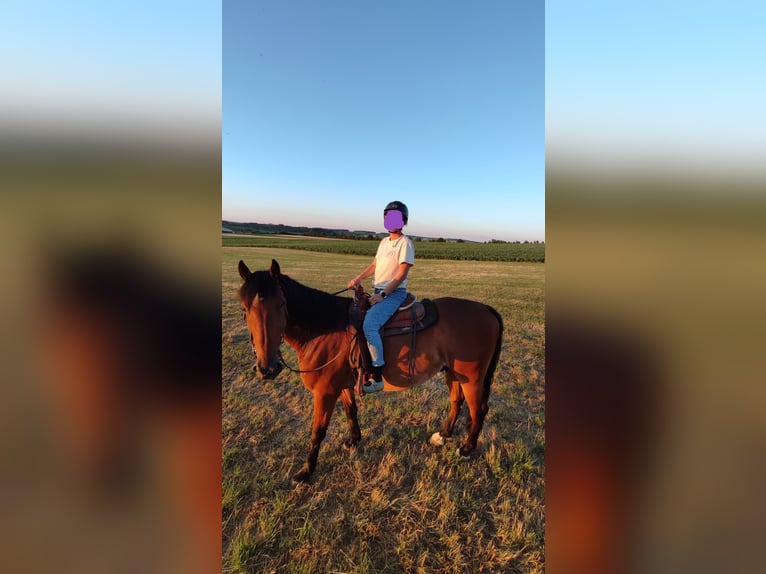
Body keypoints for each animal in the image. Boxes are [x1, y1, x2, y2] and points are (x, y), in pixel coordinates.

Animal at [237, 258, 504, 483]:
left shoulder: (324, 393)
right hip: (453, 373)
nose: (267, 368)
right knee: (456, 401)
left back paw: (467, 448)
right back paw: (443, 435)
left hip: (473, 379)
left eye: (282, 304)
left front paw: (306, 471)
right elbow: (351, 411)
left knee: (478, 409)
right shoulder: (342, 386)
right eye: (244, 309)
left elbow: (317, 431)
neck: (325, 327)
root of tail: (487, 310)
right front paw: (353, 441)